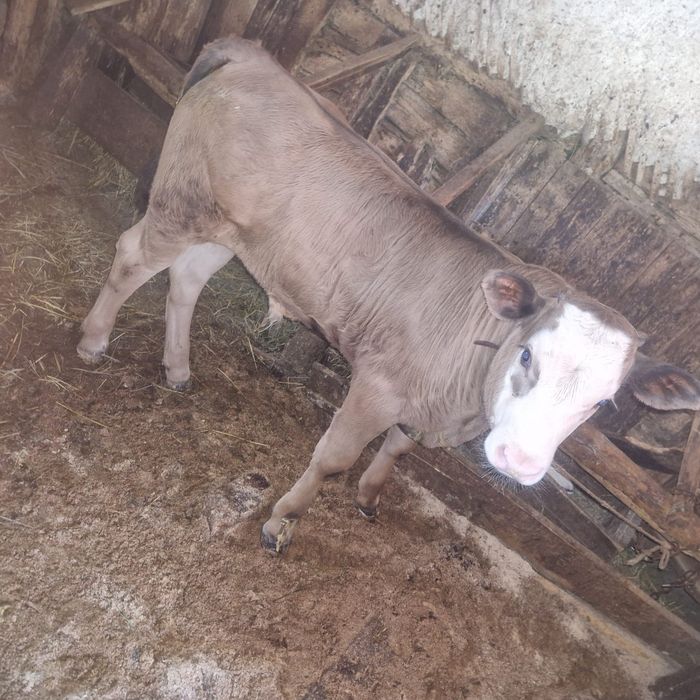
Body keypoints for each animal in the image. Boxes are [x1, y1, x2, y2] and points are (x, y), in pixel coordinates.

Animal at [77, 38, 700, 554]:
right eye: (527, 355)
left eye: (602, 403)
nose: (519, 461)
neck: (462, 403)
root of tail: (253, 57)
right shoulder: (378, 385)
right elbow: (334, 459)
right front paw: (282, 522)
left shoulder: (425, 401)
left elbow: (399, 451)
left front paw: (369, 497)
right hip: (183, 198)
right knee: (132, 257)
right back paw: (93, 341)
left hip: (234, 233)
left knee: (186, 280)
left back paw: (178, 369)